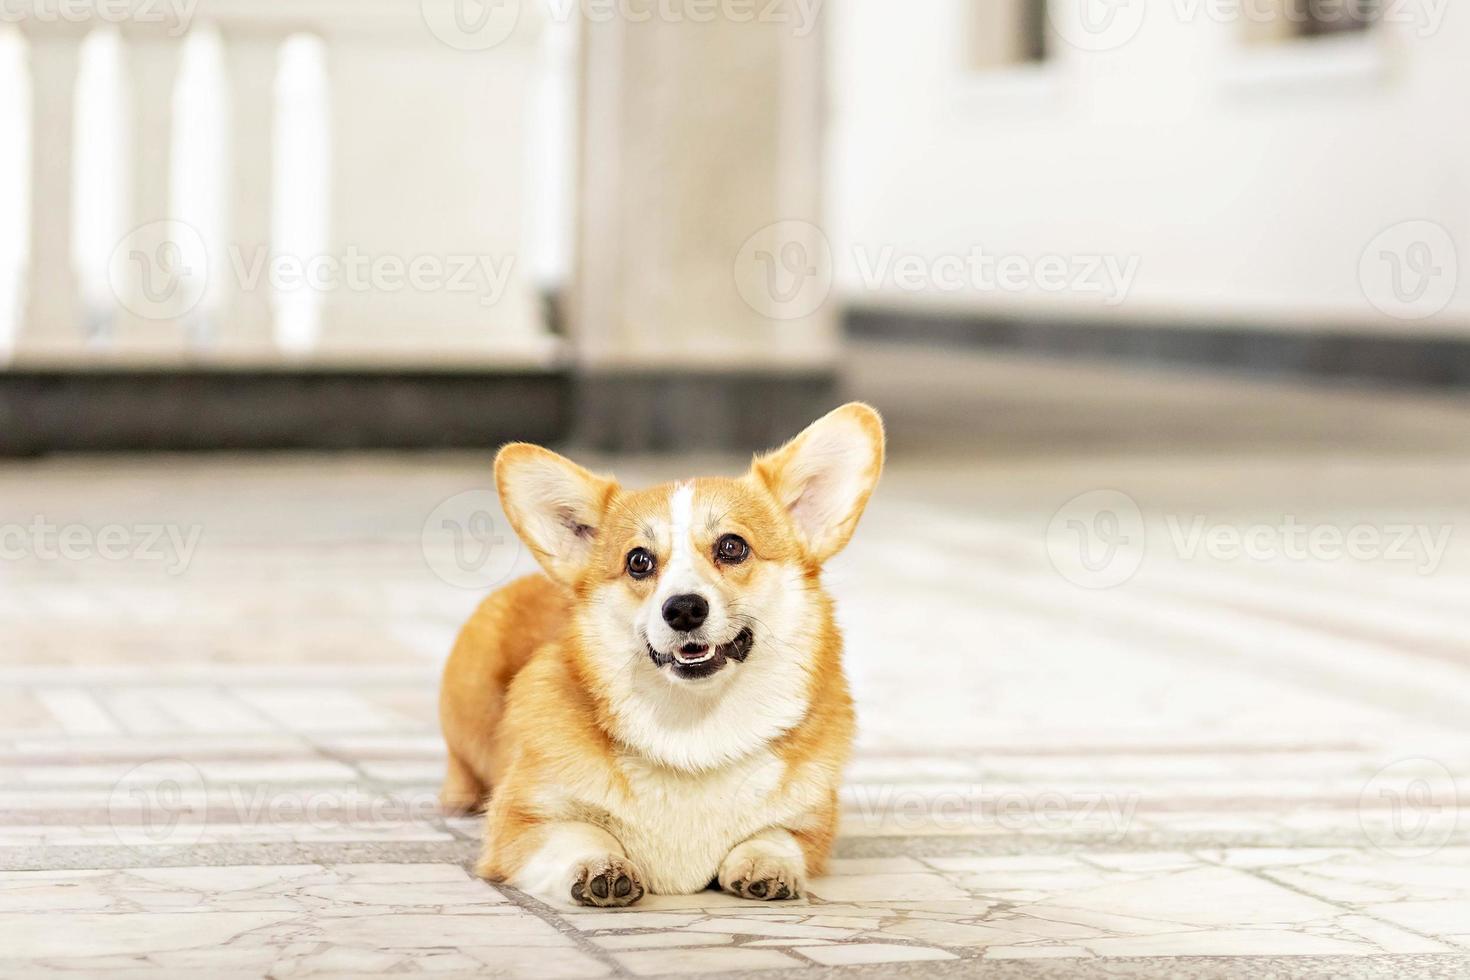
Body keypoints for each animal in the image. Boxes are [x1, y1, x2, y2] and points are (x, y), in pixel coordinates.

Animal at [435, 405, 882, 905]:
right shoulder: (520, 822)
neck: (693, 727)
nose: (684, 608)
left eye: (733, 546)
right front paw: (599, 865)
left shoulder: (812, 826)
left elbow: (778, 836)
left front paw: (766, 863)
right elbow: (578, 833)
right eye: (638, 561)